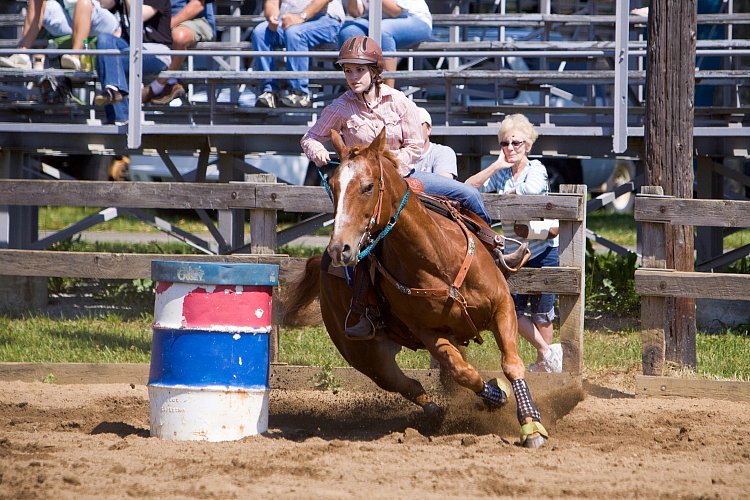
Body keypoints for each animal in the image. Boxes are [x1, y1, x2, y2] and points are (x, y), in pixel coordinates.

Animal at [284, 127, 548, 448]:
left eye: (368, 186)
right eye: (333, 186)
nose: (340, 249)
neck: (436, 258)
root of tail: (320, 263)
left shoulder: (502, 306)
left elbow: (510, 364)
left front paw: (531, 425)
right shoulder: (429, 333)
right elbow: (465, 374)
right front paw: (496, 395)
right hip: (366, 357)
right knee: (407, 384)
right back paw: (435, 413)